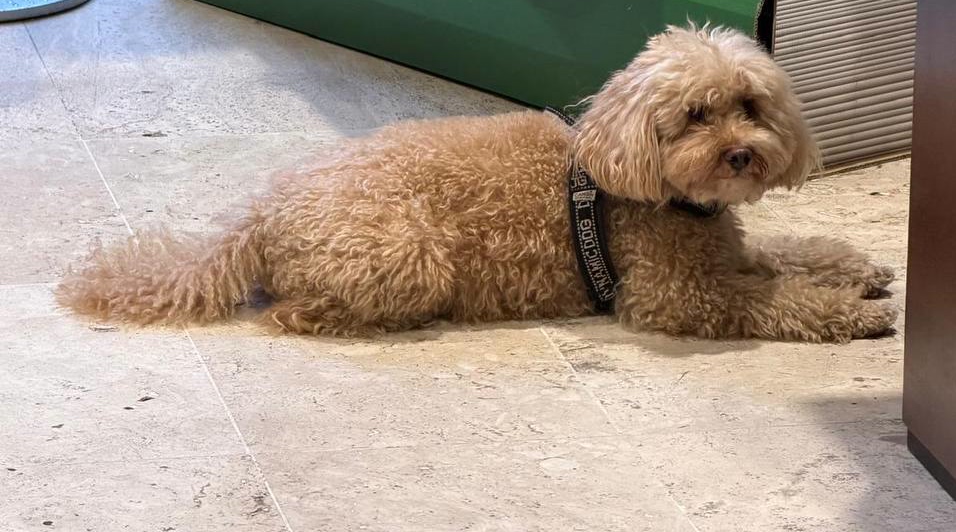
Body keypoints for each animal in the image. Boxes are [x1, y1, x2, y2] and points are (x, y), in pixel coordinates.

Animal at [56, 24, 898, 343]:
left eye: (751, 106)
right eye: (695, 115)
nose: (742, 155)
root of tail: (259, 216)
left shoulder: (727, 253)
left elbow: (791, 255)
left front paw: (859, 268)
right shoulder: (676, 296)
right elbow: (774, 300)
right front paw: (852, 313)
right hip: (409, 255)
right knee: (292, 313)